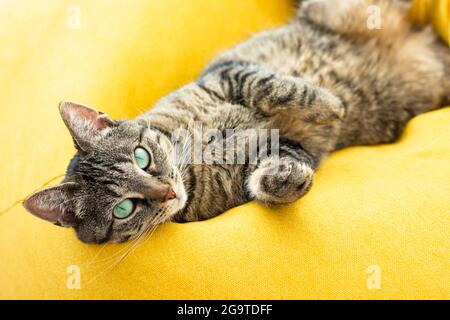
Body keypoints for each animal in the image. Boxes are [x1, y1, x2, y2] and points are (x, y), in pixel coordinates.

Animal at [22, 0, 450, 242]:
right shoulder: (278, 151)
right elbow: (274, 175)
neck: (193, 155)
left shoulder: (228, 73)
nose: (167, 191)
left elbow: (280, 87)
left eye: (142, 157)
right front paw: (286, 180)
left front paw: (330, 104)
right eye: (123, 210)